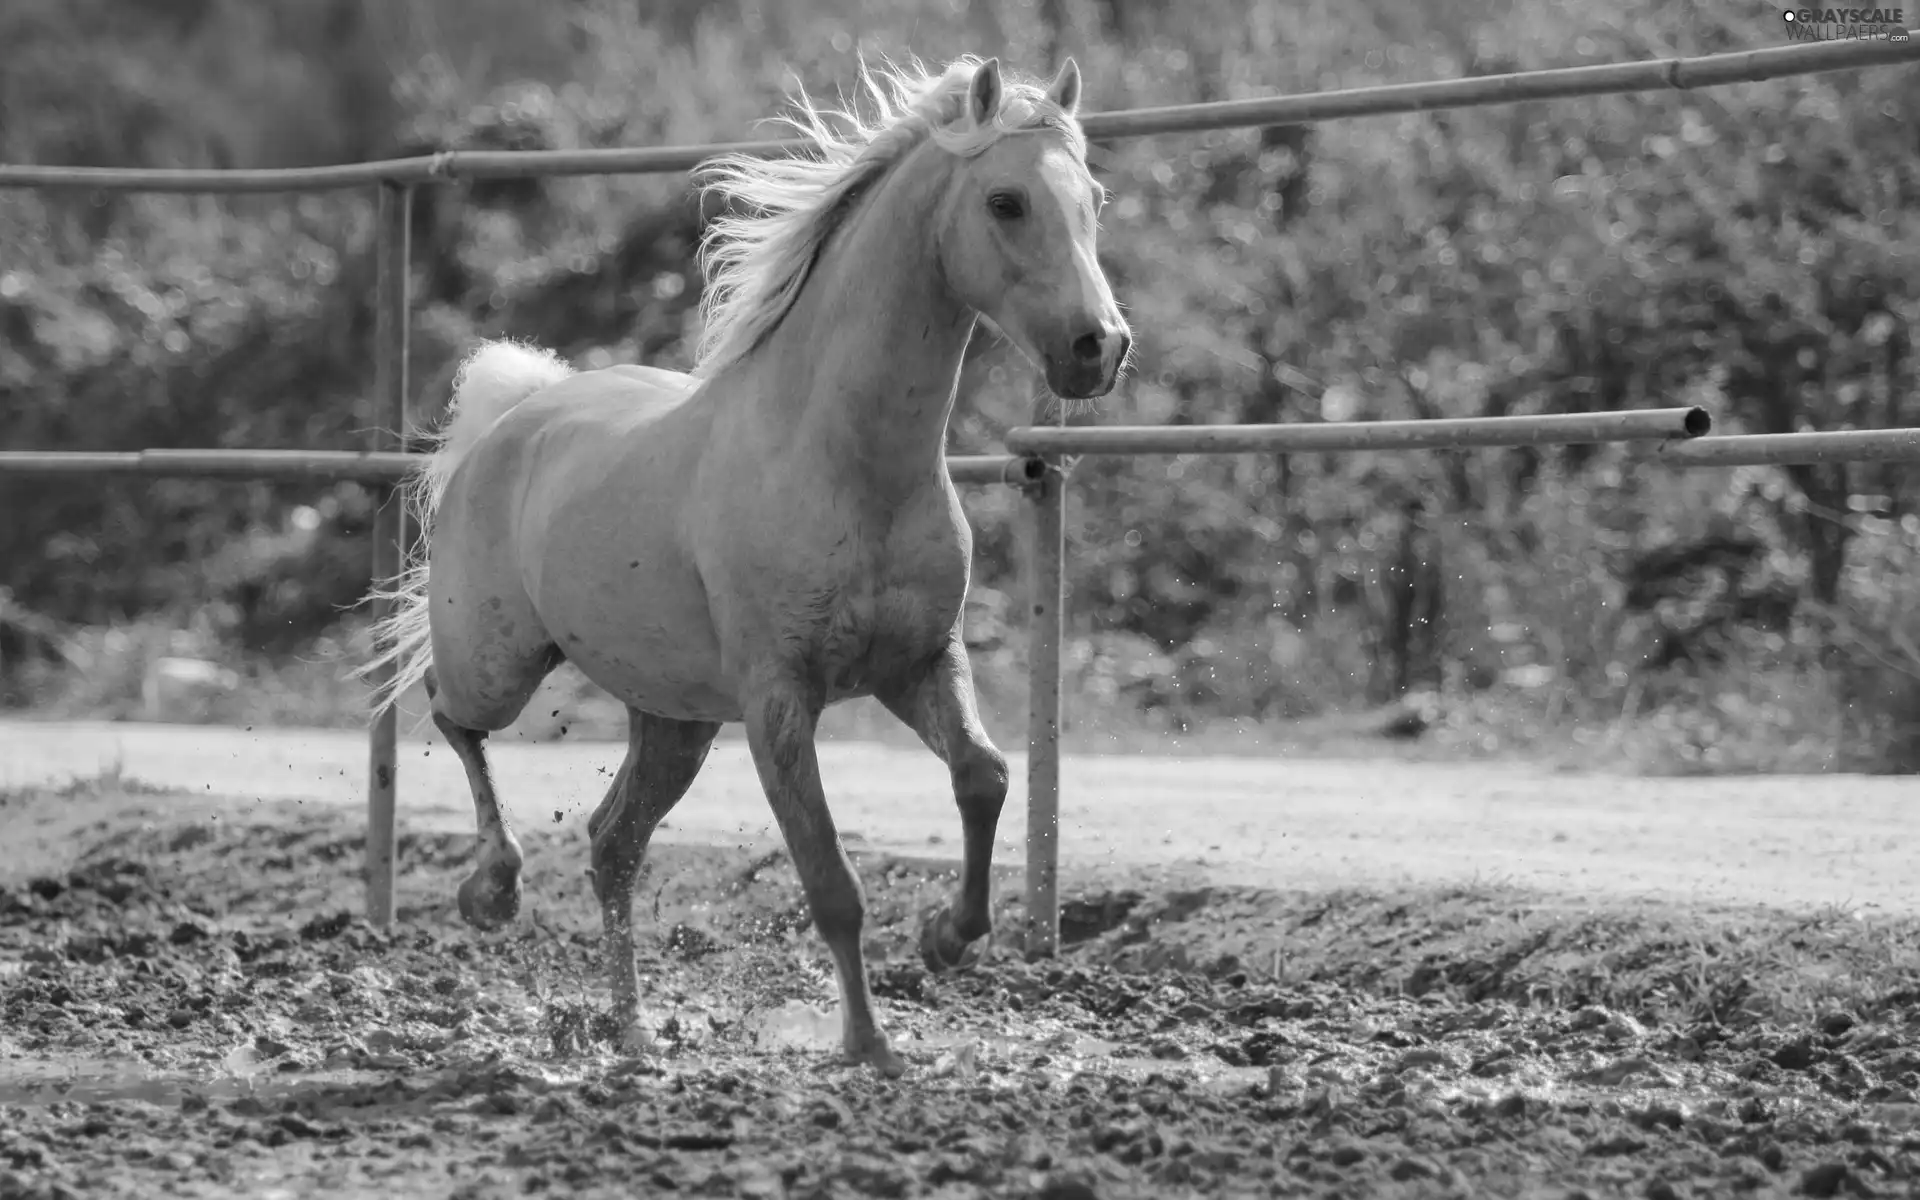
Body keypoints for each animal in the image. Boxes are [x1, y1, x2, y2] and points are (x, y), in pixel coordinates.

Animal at [362, 53, 1121, 1075]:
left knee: (612, 844)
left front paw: (947, 939)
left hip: (674, 719)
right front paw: (868, 1045)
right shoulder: (778, 702)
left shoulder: (921, 662)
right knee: (451, 712)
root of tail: (518, 414)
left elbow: (986, 776)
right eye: (1006, 201)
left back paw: (633, 1032)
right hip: (502, 664)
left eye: (1093, 199)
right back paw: (495, 888)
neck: (843, 462)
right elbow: (831, 881)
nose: (1099, 347)